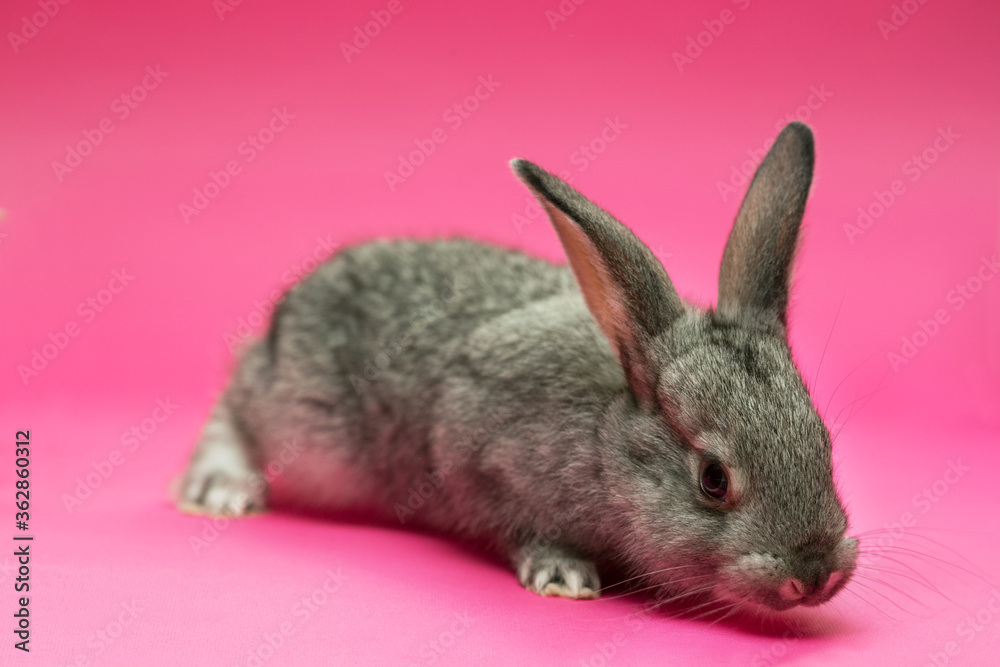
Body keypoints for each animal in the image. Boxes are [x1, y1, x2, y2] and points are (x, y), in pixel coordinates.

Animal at [176, 121, 858, 612]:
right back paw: (218, 490)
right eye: (714, 480)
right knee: (237, 409)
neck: (604, 443)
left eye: (825, 446)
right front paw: (563, 576)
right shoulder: (482, 458)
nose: (815, 576)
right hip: (307, 427)